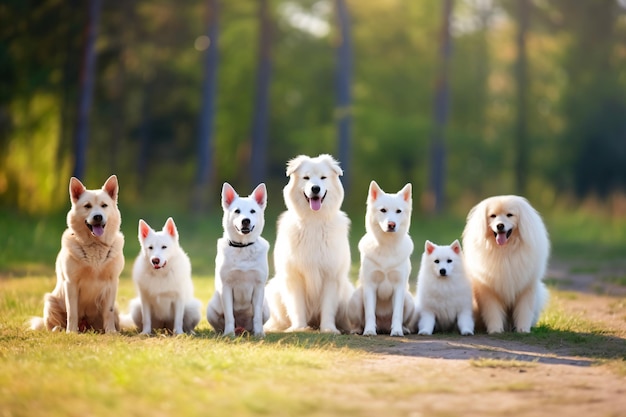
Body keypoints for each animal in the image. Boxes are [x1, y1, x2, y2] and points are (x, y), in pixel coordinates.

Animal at [206, 181, 270, 334]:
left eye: (252, 211)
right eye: (237, 211)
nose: (245, 221)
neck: (243, 247)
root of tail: (242, 327)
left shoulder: (259, 287)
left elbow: (257, 316)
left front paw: (259, 333)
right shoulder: (226, 287)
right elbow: (229, 315)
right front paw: (229, 333)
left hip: (267, 309)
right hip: (211, 309)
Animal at [262, 154, 354, 334]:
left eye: (323, 178)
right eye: (306, 178)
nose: (315, 189)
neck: (314, 221)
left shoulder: (331, 276)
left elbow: (328, 307)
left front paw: (328, 329)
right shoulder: (294, 276)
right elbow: (297, 306)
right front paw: (298, 328)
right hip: (273, 290)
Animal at [346, 180, 414, 336]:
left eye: (398, 211)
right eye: (383, 210)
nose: (391, 224)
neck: (387, 247)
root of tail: (383, 326)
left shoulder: (399, 287)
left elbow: (397, 314)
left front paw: (397, 331)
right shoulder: (370, 286)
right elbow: (370, 313)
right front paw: (369, 331)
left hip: (409, 300)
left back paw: (404, 328)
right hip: (356, 299)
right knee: (358, 322)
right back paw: (358, 330)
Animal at [460, 193, 548, 334]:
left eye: (509, 215)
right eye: (493, 216)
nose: (500, 226)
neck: (504, 251)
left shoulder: (526, 287)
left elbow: (524, 311)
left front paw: (523, 330)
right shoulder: (489, 290)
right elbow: (493, 312)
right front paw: (495, 330)